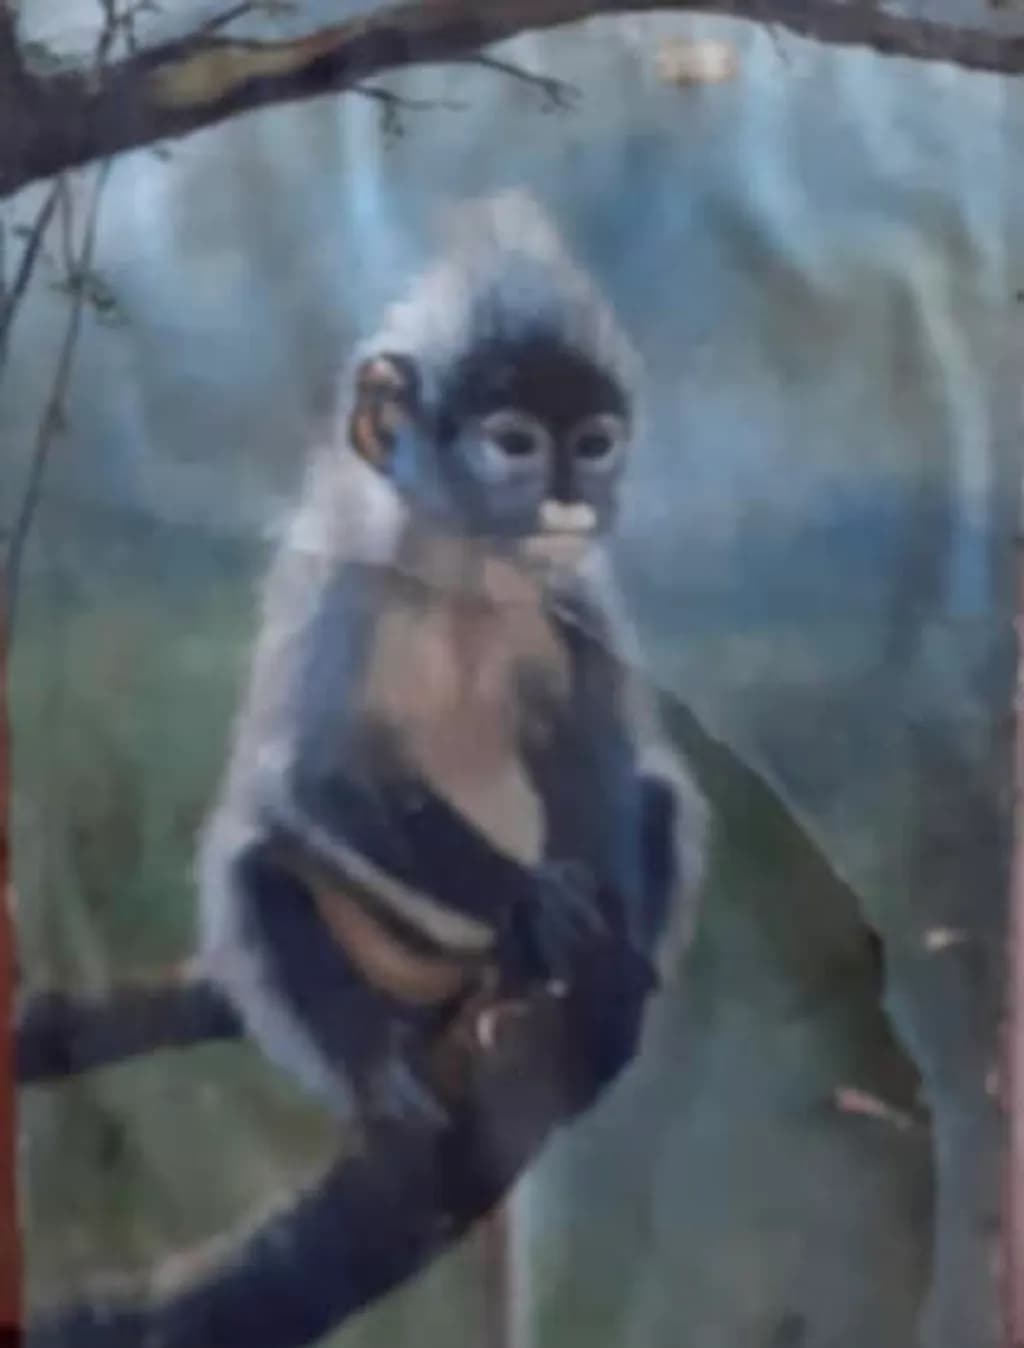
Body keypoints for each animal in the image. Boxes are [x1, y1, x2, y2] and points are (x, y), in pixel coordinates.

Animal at [197, 190, 707, 1135]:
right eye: (515, 443)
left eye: (592, 443)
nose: (569, 500)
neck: (466, 569)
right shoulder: (346, 579)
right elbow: (314, 778)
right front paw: (531, 900)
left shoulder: (576, 592)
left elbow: (593, 747)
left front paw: (607, 959)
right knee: (256, 870)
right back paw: (384, 1066)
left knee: (655, 795)